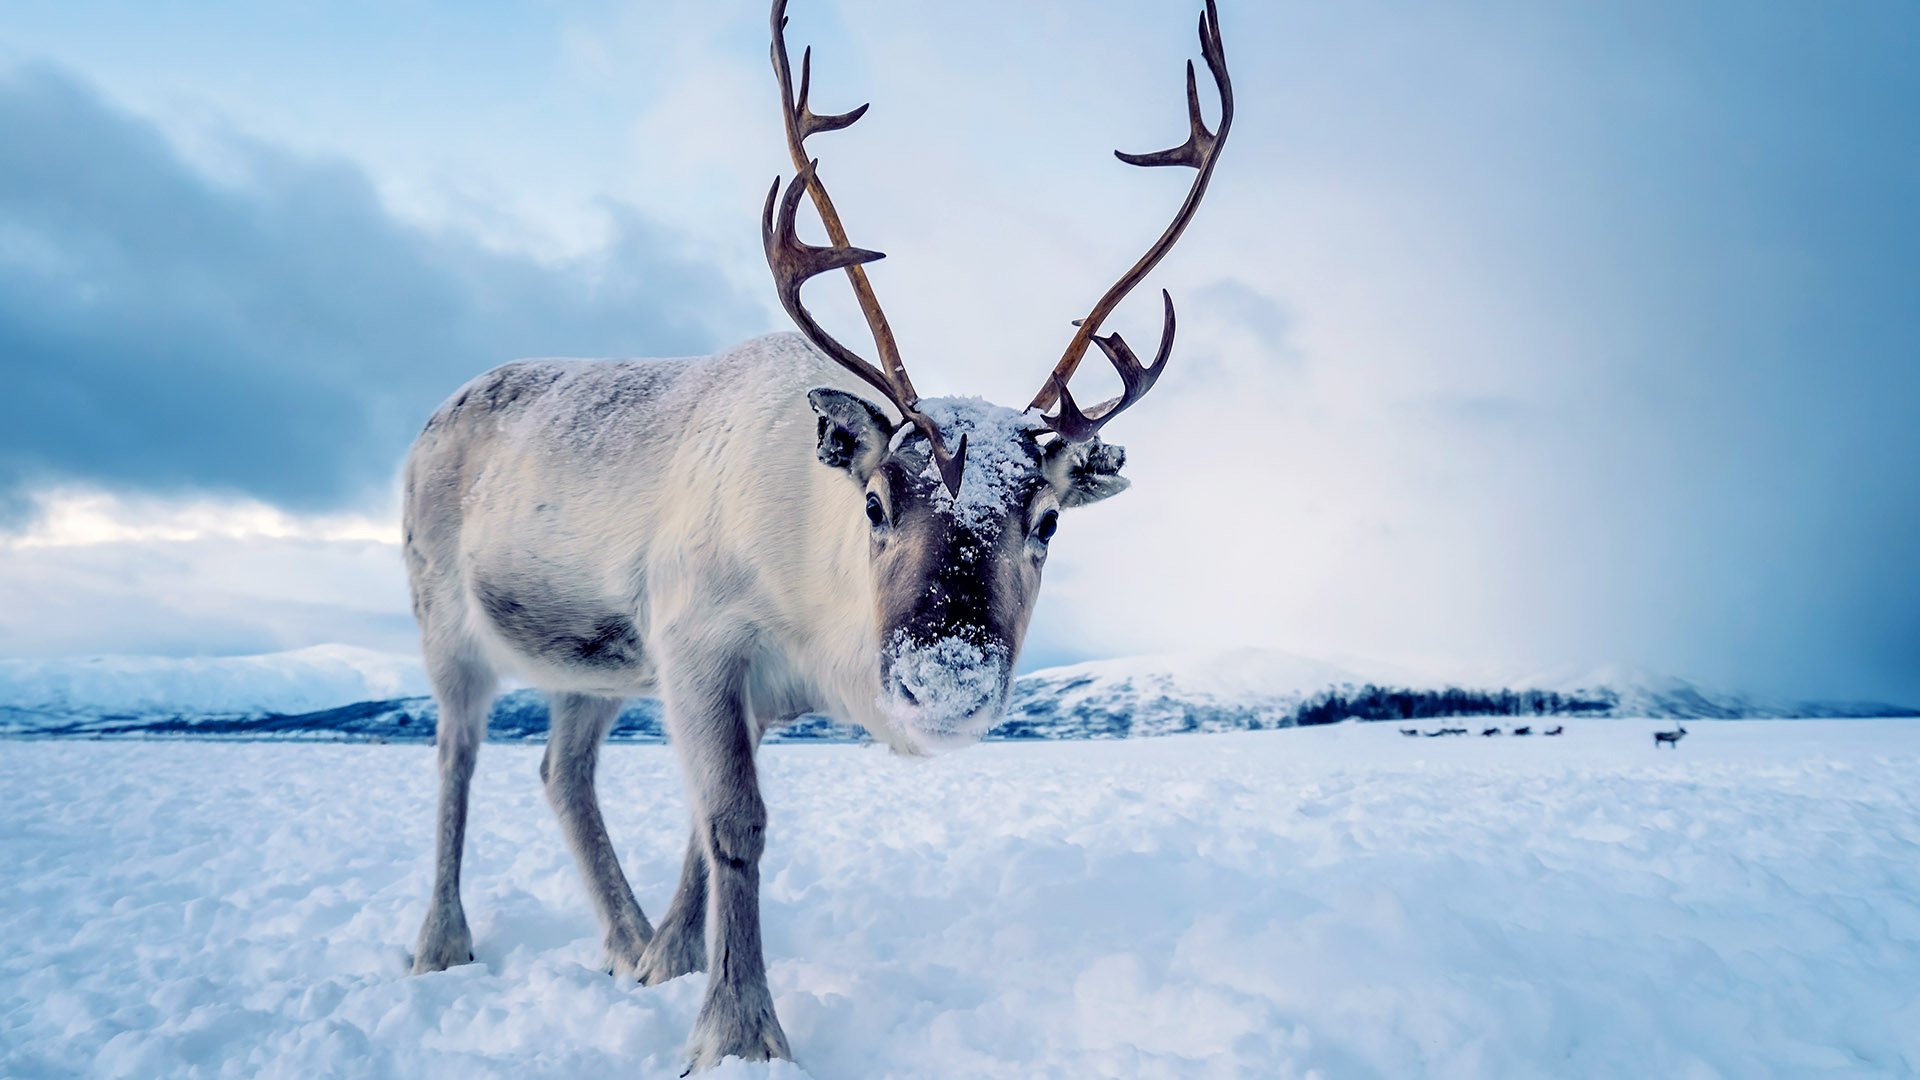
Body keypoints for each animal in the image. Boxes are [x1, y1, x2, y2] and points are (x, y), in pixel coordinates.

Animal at [398, 0, 1234, 1070]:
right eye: (875, 502)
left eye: (1045, 519)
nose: (945, 681)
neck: (811, 615)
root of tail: (436, 416)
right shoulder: (696, 642)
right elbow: (735, 825)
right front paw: (738, 1031)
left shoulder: (731, 686)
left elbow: (700, 835)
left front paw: (672, 963)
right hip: (445, 622)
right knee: (455, 761)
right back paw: (440, 944)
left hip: (591, 663)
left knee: (561, 772)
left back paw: (624, 940)